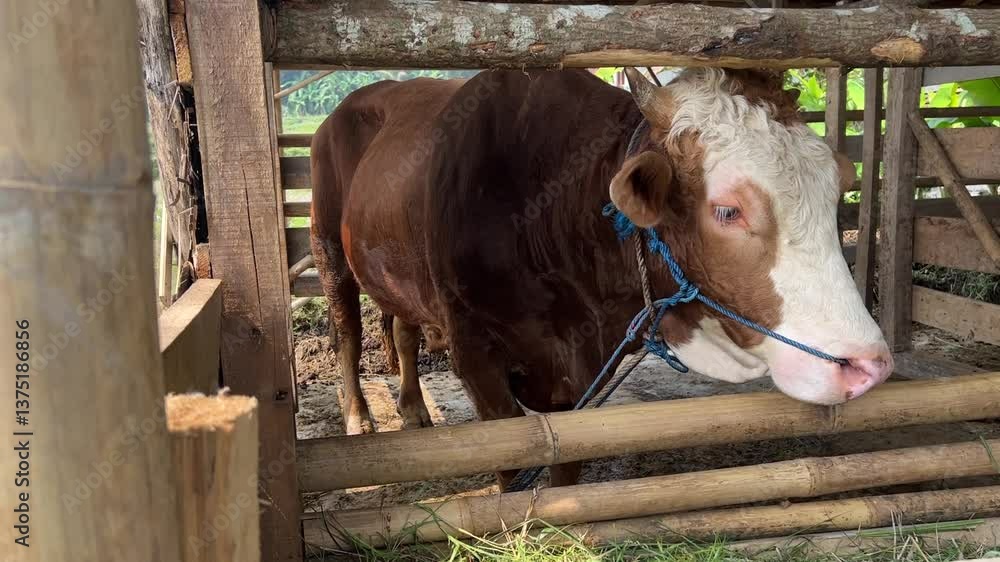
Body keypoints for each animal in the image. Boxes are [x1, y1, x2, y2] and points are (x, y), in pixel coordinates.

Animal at [310, 68, 893, 484]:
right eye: (728, 211)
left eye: (834, 195)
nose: (867, 366)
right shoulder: (475, 357)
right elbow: (511, 465)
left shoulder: (586, 368)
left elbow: (566, 458)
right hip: (328, 249)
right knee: (347, 331)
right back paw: (359, 418)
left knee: (401, 326)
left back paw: (412, 407)